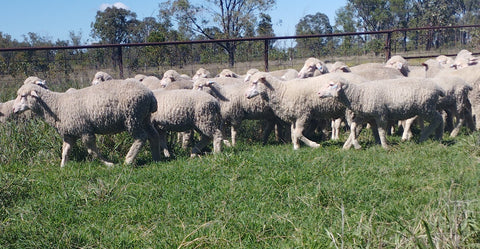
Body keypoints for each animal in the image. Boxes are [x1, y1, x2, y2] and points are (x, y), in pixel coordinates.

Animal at [12, 80, 161, 167]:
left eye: (23, 96)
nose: (13, 110)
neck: (56, 105)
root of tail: (151, 96)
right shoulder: (69, 133)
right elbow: (65, 150)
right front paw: (62, 167)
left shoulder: (84, 130)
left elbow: (91, 150)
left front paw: (108, 163)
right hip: (143, 118)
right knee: (153, 135)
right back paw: (157, 157)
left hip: (133, 117)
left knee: (141, 137)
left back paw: (128, 160)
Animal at [316, 77, 444, 149]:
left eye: (331, 84)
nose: (318, 93)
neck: (358, 94)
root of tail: (438, 88)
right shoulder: (365, 115)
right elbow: (353, 127)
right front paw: (352, 146)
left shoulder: (380, 114)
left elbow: (381, 131)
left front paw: (384, 146)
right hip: (426, 108)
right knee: (440, 118)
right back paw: (438, 137)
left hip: (426, 107)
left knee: (438, 119)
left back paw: (424, 137)